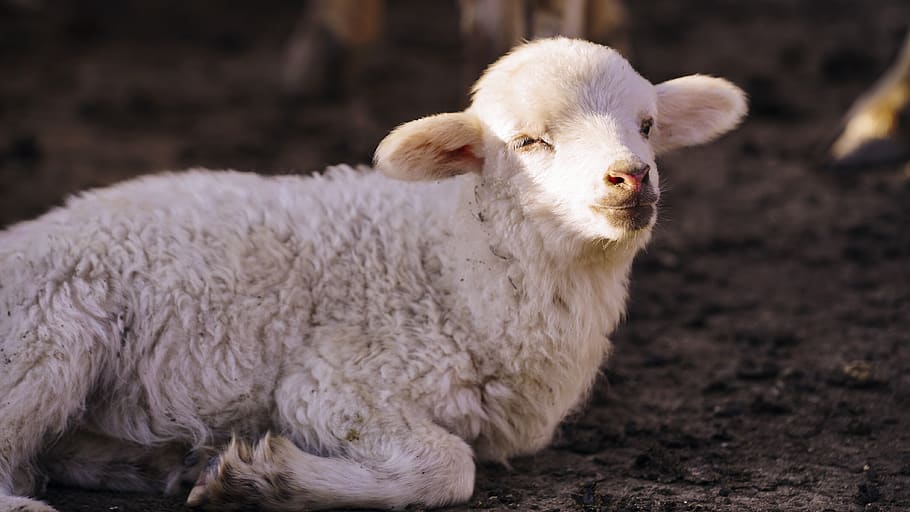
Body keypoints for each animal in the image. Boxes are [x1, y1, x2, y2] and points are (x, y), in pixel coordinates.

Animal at [0, 38, 747, 511]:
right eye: (529, 141)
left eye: (647, 125)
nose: (631, 177)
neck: (452, 266)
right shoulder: (333, 382)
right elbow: (448, 467)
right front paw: (264, 480)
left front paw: (230, 474)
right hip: (45, 335)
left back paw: (165, 462)